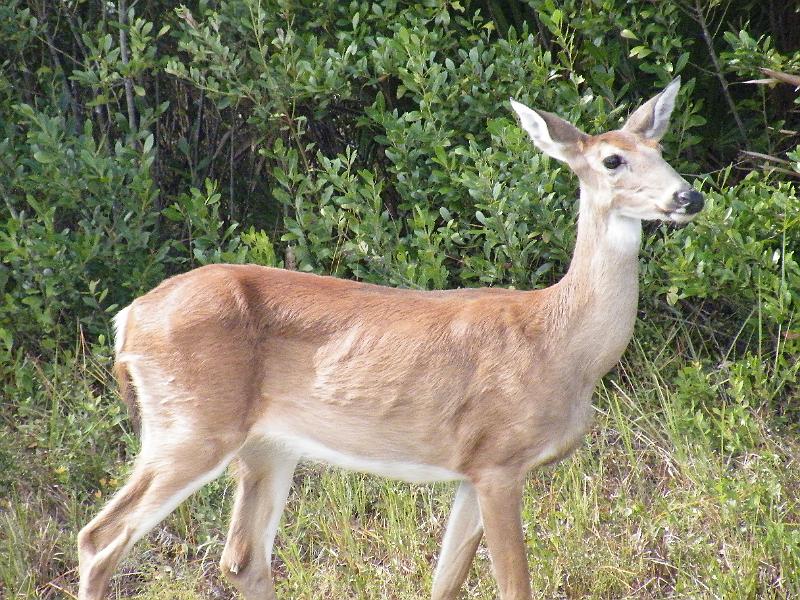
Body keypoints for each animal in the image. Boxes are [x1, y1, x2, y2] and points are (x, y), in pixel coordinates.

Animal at [78, 78, 704, 600]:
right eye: (613, 159)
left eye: (662, 151)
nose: (689, 197)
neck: (563, 344)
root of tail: (129, 318)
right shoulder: (500, 458)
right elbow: (513, 587)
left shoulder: (472, 469)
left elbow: (445, 582)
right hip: (192, 423)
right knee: (99, 538)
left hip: (266, 445)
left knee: (242, 558)